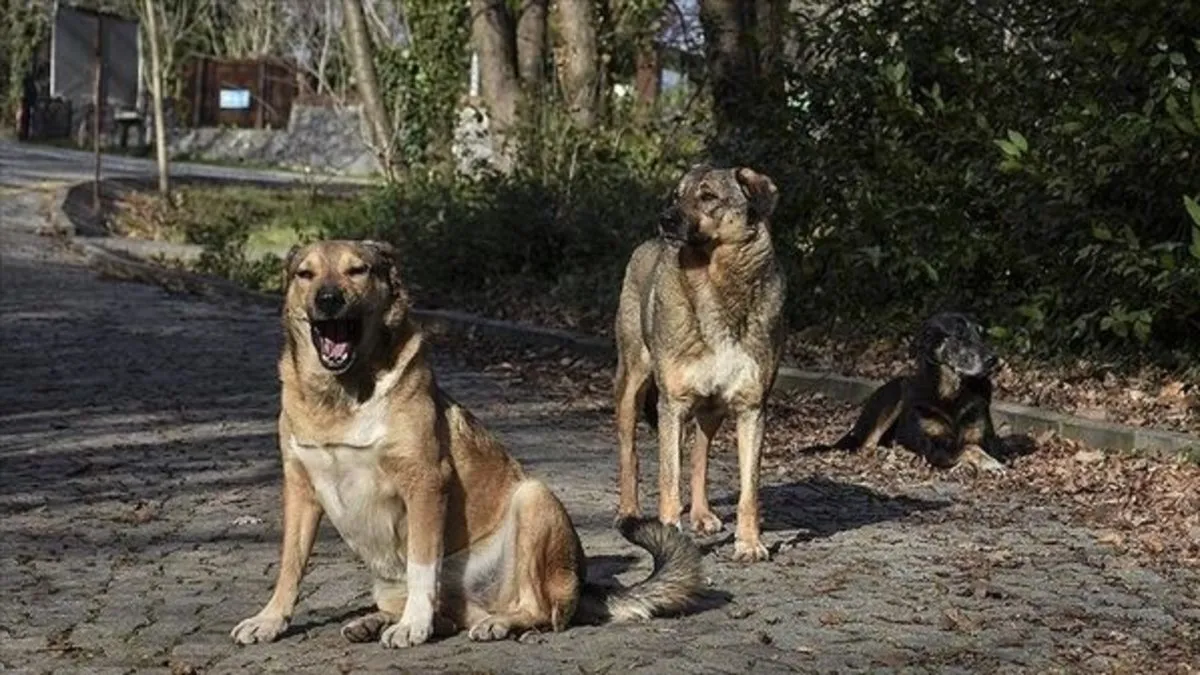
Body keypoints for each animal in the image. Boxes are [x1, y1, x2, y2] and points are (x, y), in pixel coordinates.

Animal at [229, 239, 705, 643]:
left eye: (357, 270)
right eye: (305, 274)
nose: (328, 300)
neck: (341, 396)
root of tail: (584, 584)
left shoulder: (425, 483)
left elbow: (423, 566)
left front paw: (413, 626)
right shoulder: (300, 487)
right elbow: (290, 564)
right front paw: (270, 620)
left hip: (533, 499)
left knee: (540, 610)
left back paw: (494, 623)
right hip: (388, 582)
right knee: (448, 614)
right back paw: (375, 621)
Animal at [609, 165, 787, 559]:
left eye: (708, 196)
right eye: (676, 195)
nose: (665, 219)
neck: (715, 282)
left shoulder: (752, 409)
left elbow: (748, 491)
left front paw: (749, 543)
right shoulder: (672, 405)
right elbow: (668, 481)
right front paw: (668, 536)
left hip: (711, 410)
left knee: (699, 456)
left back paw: (703, 515)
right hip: (632, 387)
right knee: (631, 454)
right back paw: (629, 513)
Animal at [820, 312, 1008, 470]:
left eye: (981, 334)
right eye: (959, 335)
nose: (994, 359)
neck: (951, 393)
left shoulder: (986, 439)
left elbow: (976, 445)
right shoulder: (934, 446)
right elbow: (969, 447)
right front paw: (989, 463)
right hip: (896, 395)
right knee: (867, 444)